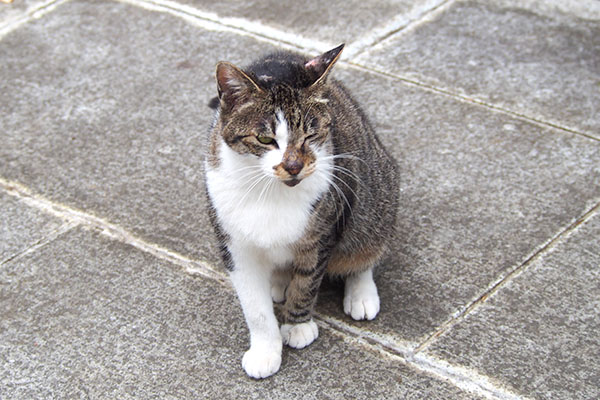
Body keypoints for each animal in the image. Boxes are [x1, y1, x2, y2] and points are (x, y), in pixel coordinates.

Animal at [205, 43, 398, 378]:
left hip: (377, 198)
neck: (270, 192)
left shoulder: (323, 233)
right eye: (265, 138)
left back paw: (361, 293)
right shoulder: (234, 246)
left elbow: (307, 281)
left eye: (311, 134)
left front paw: (297, 327)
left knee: (364, 250)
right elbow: (255, 308)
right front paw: (265, 350)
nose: (294, 166)